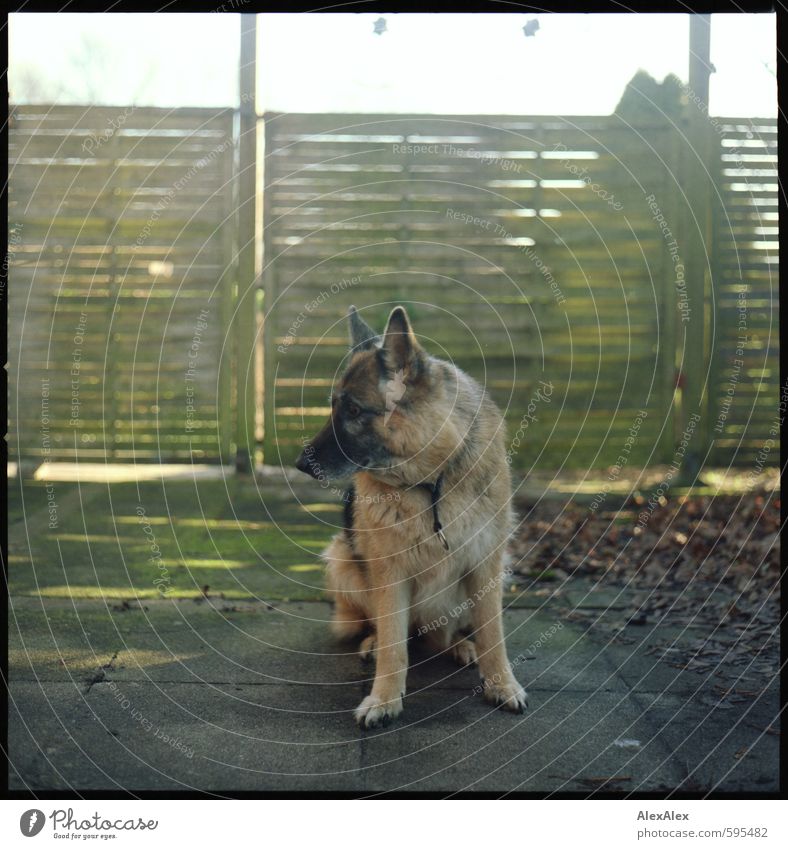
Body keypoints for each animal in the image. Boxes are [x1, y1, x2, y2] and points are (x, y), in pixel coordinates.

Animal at [292, 306, 528, 728]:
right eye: (334, 407)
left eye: (354, 410)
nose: (300, 464)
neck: (432, 480)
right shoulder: (390, 575)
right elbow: (394, 646)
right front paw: (384, 698)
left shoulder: (485, 564)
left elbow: (493, 635)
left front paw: (502, 684)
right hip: (342, 562)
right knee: (388, 631)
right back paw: (374, 643)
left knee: (448, 635)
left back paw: (462, 647)